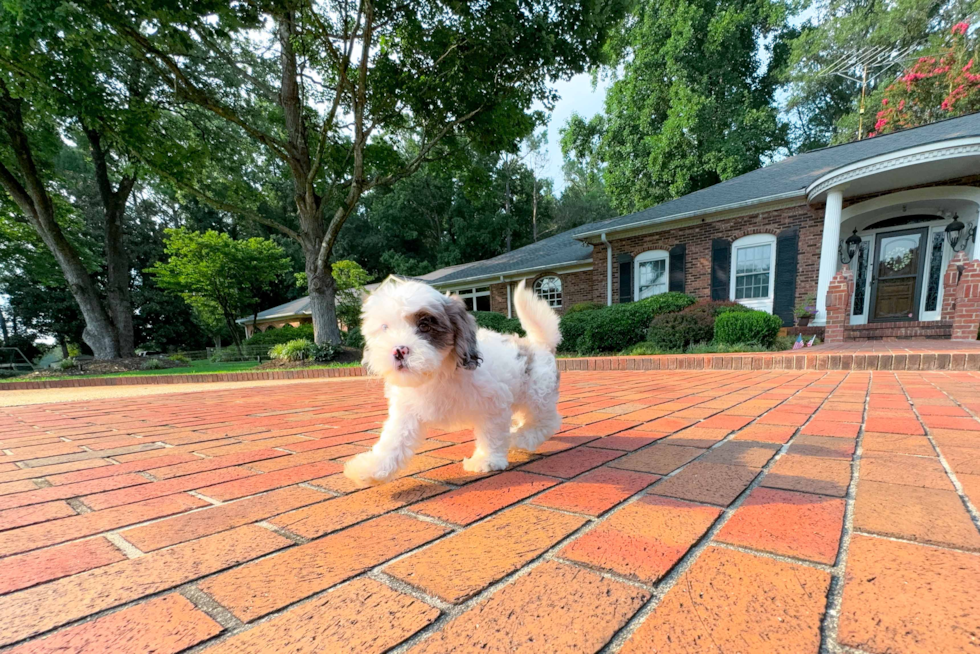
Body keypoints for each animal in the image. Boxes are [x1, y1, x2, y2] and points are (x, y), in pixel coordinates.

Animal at [344, 276, 564, 486]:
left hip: (538, 395)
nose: (398, 350)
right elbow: (394, 440)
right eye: (385, 327)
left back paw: (520, 438)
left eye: (424, 325)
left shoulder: (494, 403)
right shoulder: (406, 412)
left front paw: (487, 460)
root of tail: (539, 345)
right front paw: (371, 469)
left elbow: (492, 433)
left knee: (547, 421)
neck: (439, 373)